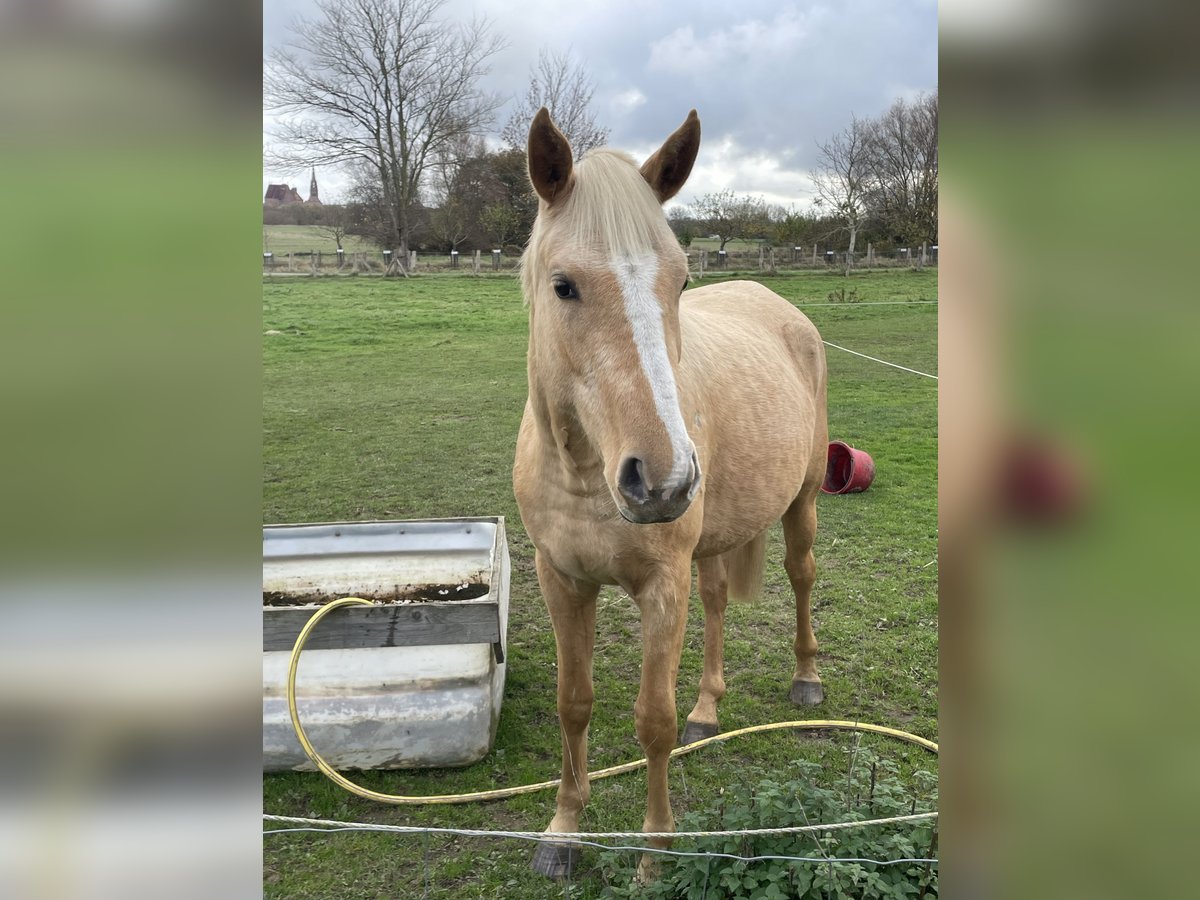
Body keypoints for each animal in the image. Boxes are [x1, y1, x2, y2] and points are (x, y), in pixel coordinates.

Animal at [511, 109, 830, 883]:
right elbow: (574, 703)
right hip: (710, 544)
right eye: (563, 285)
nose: (662, 480)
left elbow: (650, 721)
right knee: (715, 602)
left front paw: (655, 856)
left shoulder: (661, 586)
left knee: (802, 577)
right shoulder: (561, 580)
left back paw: (807, 682)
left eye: (682, 281)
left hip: (802, 502)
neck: (584, 475)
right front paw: (562, 832)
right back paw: (707, 712)